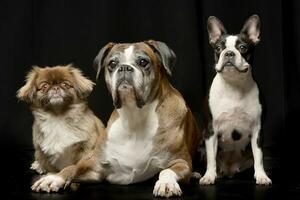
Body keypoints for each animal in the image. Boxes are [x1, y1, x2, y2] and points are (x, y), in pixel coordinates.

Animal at [31, 39, 202, 198]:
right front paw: (54, 178)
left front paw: (166, 183)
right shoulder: (96, 167)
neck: (134, 116)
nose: (125, 67)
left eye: (143, 62)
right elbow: (73, 168)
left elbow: (166, 171)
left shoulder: (181, 163)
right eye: (112, 63)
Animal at [199, 14, 272, 185]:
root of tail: (229, 170)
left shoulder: (258, 130)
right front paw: (209, 176)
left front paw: (261, 176)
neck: (234, 85)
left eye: (243, 48)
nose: (229, 53)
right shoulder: (210, 131)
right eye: (219, 48)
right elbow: (211, 158)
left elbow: (259, 157)